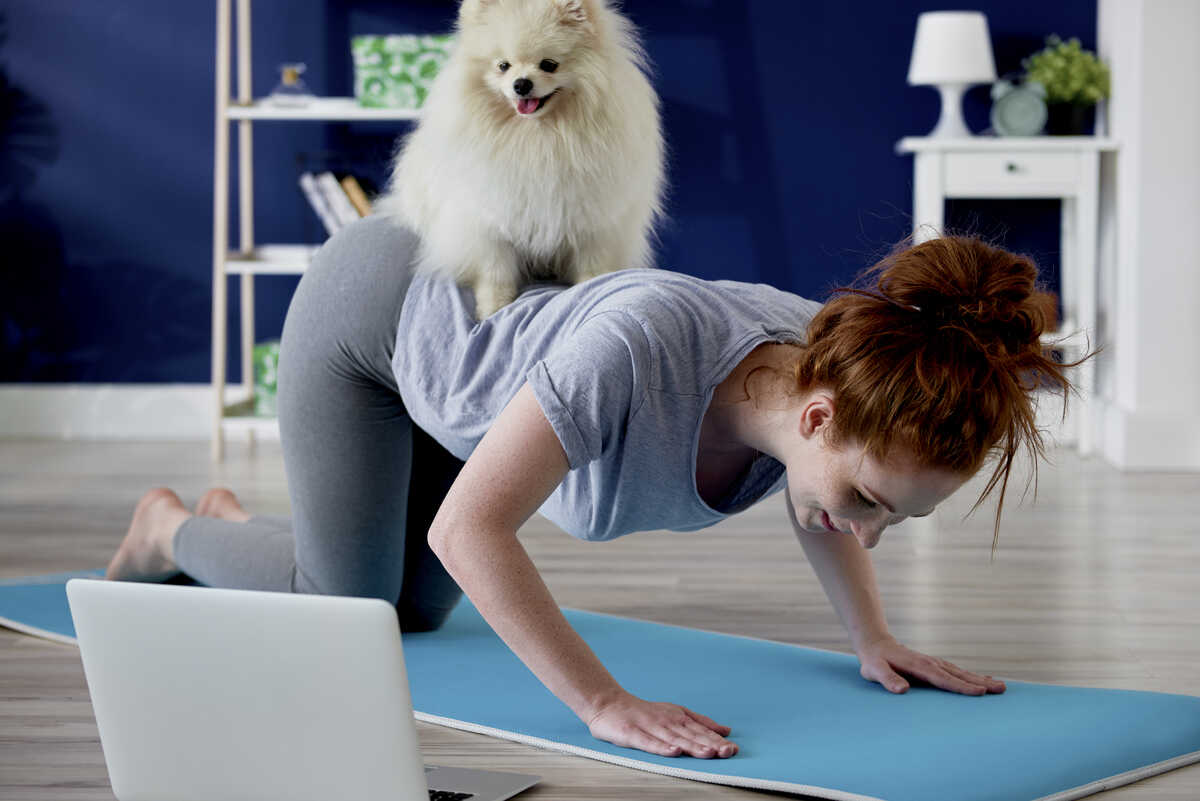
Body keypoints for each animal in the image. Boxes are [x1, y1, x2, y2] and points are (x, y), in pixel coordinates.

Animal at [376, 0, 667, 318]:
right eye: (503, 66)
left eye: (549, 64)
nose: (521, 84)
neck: (537, 137)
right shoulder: (489, 222)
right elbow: (495, 273)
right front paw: (492, 311)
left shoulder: (592, 222)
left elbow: (592, 269)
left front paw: (590, 289)